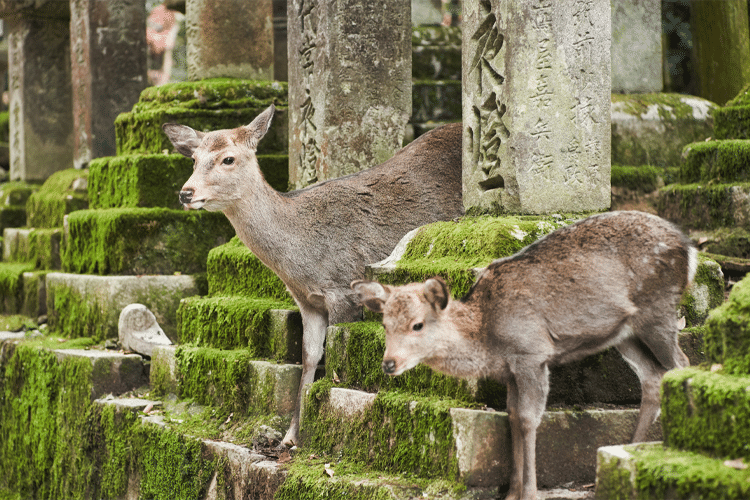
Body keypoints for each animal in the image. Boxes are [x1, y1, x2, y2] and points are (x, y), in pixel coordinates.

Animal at [164, 104, 464, 446]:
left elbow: (334, 355)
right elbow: (308, 358)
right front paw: (290, 437)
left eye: (228, 158)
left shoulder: (344, 290)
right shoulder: (308, 302)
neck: (301, 263)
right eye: (194, 158)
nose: (186, 193)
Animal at [356, 211, 696, 500]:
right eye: (385, 324)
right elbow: (512, 416)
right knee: (652, 376)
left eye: (418, 324)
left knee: (681, 363)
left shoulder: (532, 352)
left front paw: (530, 493)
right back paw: (626, 455)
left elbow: (529, 420)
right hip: (625, 333)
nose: (389, 364)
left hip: (658, 309)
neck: (488, 339)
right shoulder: (510, 370)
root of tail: (689, 249)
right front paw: (511, 492)